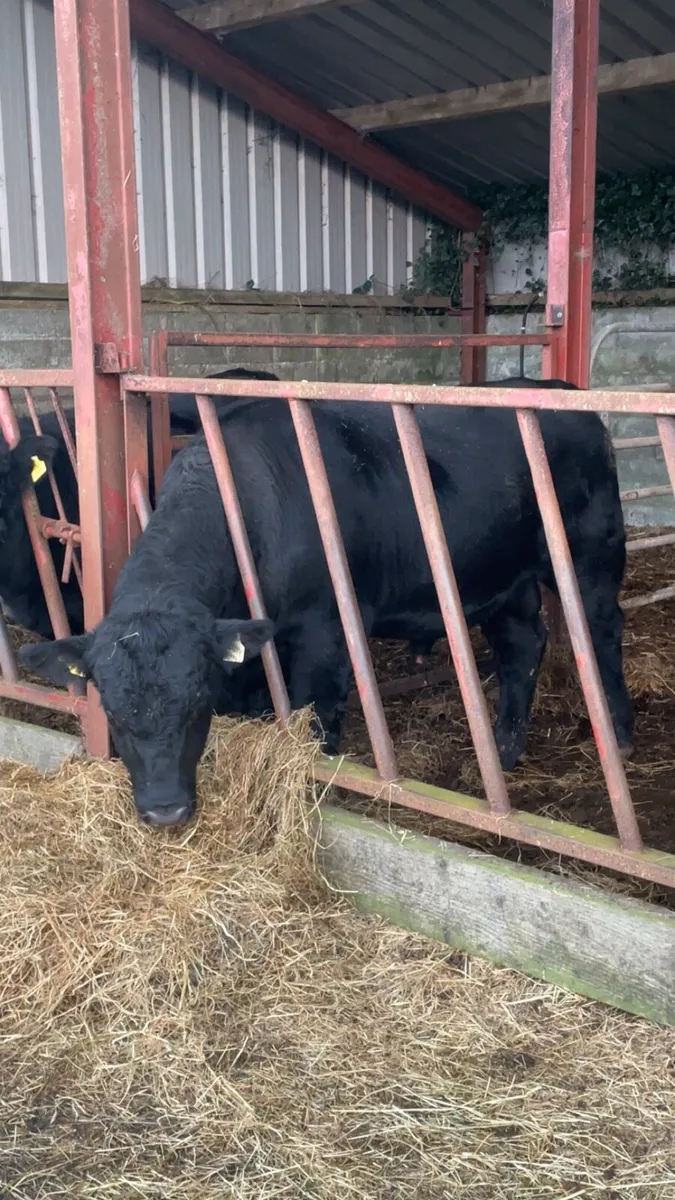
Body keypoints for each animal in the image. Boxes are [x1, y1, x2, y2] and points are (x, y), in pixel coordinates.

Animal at [21, 377, 634, 828]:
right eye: (112, 712)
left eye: (194, 701)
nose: (165, 811)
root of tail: (561, 391)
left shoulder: (324, 630)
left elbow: (316, 720)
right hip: (500, 580)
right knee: (521, 647)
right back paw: (503, 750)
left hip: (589, 557)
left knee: (603, 632)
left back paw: (619, 735)